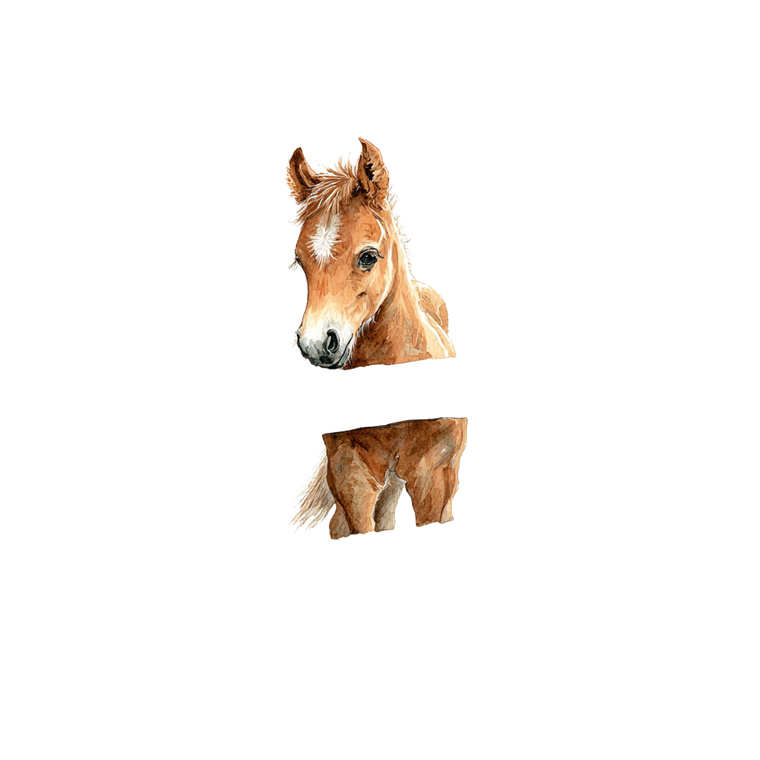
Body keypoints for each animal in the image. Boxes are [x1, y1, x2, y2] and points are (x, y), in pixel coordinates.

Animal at [286, 415, 470, 542]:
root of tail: (327, 436)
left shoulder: (451, 469)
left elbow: (445, 510)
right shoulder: (422, 473)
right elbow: (429, 513)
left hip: (386, 486)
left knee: (342, 521)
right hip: (360, 485)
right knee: (355, 520)